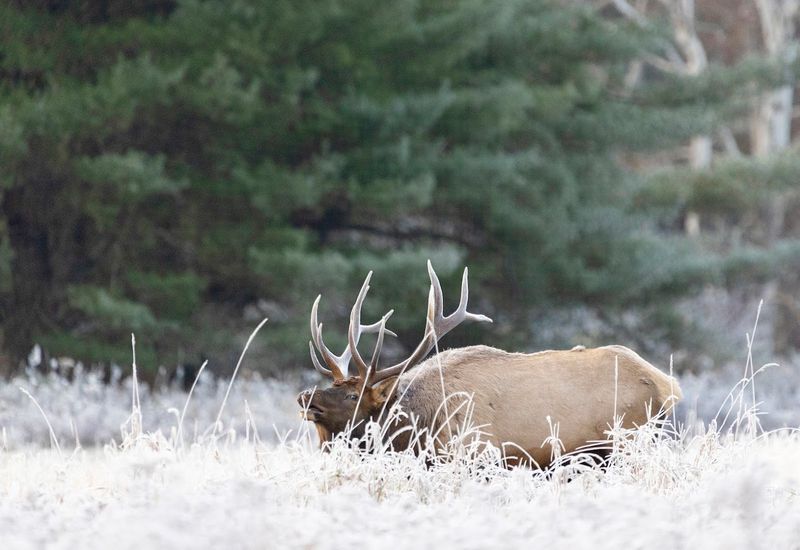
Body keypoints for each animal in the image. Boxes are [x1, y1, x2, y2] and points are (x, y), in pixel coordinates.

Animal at [297, 261, 683, 468]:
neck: (413, 430)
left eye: (354, 396)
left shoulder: (477, 456)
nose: (306, 397)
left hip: (629, 442)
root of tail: (668, 386)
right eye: (333, 385)